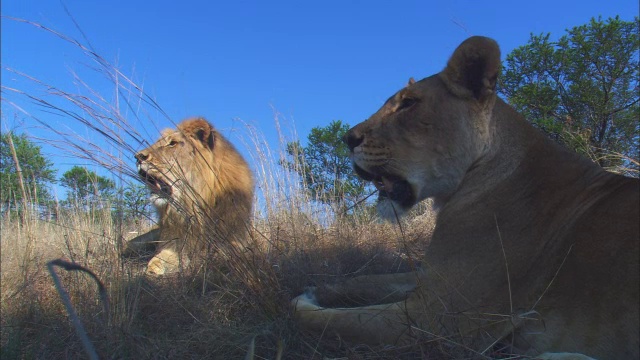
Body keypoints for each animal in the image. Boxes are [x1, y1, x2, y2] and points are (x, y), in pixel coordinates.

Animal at [124, 116, 254, 274]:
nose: (138, 157)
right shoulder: (173, 242)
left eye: (172, 143)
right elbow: (159, 258)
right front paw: (152, 269)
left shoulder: (235, 241)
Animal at [292, 37, 636, 360]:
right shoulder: (430, 277)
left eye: (408, 104)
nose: (348, 139)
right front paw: (319, 289)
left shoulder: (436, 318)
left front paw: (303, 299)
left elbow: (319, 319)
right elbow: (365, 279)